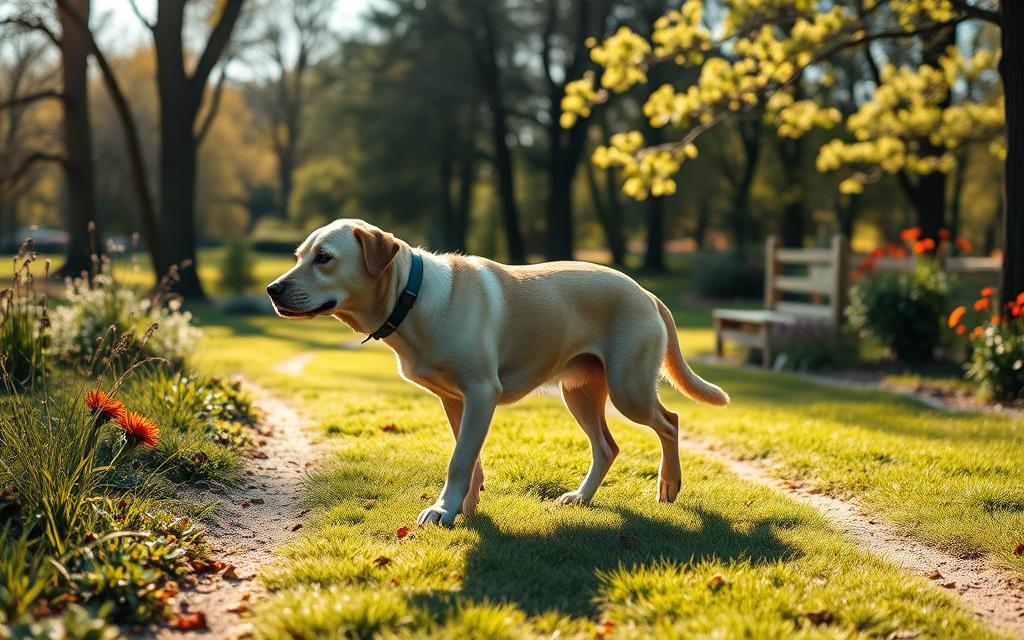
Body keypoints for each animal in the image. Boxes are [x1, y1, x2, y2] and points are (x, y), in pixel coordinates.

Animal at [266, 218, 729, 524]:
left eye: (324, 258)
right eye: (298, 257)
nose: (272, 289)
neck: (412, 299)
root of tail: (646, 292)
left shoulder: (480, 393)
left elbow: (459, 459)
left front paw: (444, 508)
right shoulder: (455, 400)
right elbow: (468, 458)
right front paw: (465, 509)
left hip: (628, 388)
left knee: (670, 421)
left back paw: (669, 485)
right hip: (579, 392)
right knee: (607, 447)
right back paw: (582, 496)